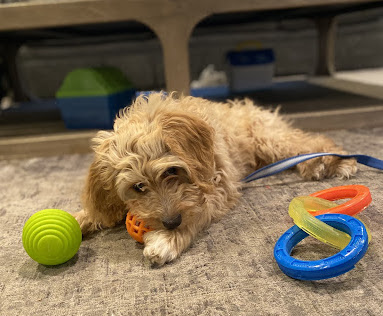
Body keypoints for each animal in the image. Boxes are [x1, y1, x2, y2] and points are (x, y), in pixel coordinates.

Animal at [74, 92, 356, 266]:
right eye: (138, 186)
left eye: (171, 171)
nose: (171, 222)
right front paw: (79, 219)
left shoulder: (221, 186)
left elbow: (199, 209)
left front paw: (166, 241)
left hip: (269, 138)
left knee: (308, 142)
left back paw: (331, 160)